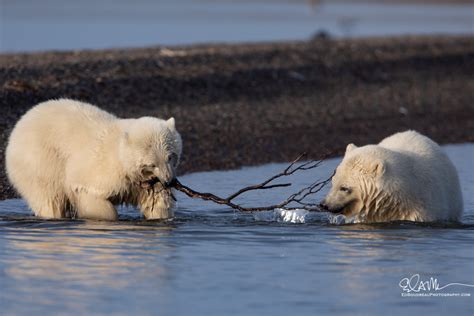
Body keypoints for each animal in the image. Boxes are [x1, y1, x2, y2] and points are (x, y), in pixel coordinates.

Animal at [4, 99, 182, 220]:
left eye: (170, 156)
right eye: (151, 164)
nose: (168, 181)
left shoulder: (145, 182)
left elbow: (157, 201)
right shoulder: (101, 169)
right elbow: (89, 192)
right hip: (40, 160)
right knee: (49, 197)